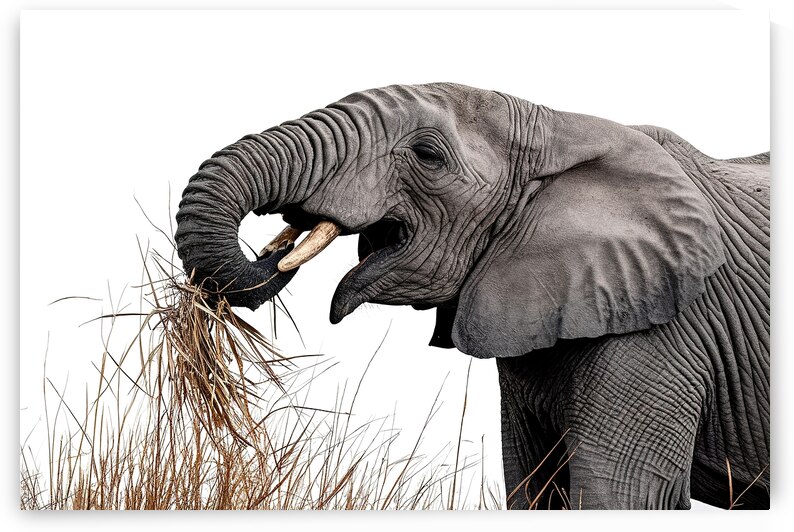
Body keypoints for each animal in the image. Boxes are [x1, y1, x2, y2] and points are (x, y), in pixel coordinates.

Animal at [174, 83, 769, 510]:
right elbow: (532, 488)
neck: (561, 125)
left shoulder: (666, 328)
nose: (272, 254)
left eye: (427, 156)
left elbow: (620, 493)